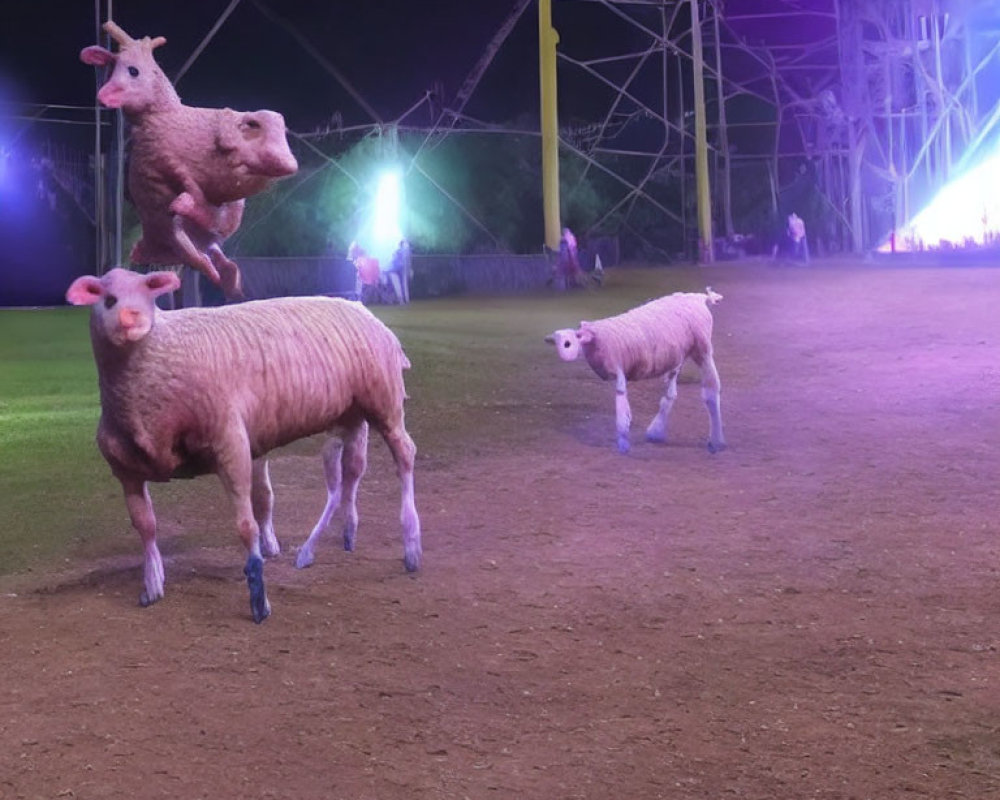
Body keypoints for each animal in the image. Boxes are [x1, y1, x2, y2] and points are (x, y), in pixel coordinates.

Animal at [63, 266, 422, 620]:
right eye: (108, 299)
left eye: (149, 294)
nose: (131, 317)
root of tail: (364, 311)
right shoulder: (126, 471)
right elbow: (145, 526)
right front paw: (152, 584)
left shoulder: (231, 445)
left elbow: (246, 526)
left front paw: (258, 596)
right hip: (351, 414)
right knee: (350, 472)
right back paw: (339, 538)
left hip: (384, 398)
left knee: (403, 454)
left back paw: (411, 544)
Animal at [79, 21, 296, 298]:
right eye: (109, 69)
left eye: (133, 71)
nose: (105, 95)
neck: (158, 116)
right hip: (177, 237)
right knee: (203, 255)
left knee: (213, 247)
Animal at [548, 288, 728, 454]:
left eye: (568, 343)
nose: (565, 353)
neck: (597, 338)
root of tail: (699, 297)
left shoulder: (618, 371)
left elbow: (621, 408)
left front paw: (623, 444)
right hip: (677, 356)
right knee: (671, 392)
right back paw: (656, 431)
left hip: (702, 350)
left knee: (711, 390)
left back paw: (715, 441)